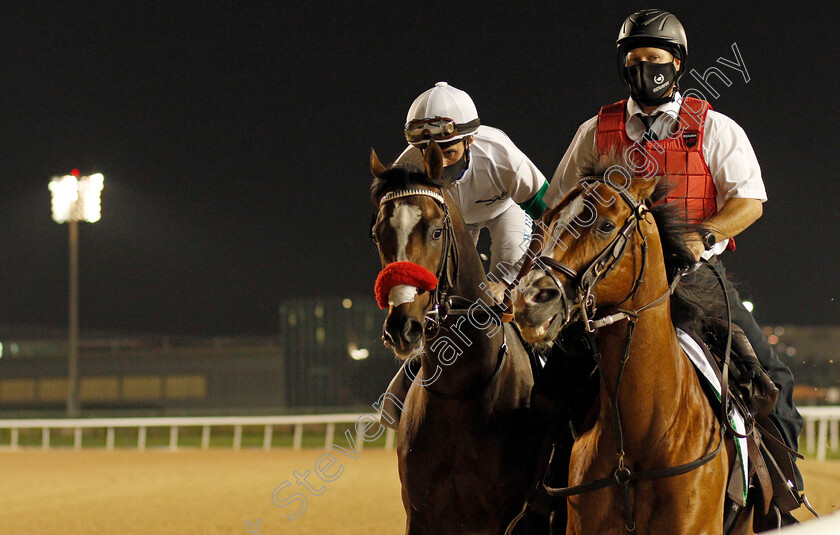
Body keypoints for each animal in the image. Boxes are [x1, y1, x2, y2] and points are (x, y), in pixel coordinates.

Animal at [370, 142, 544, 535]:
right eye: (377, 234)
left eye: (436, 231)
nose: (403, 328)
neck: (457, 391)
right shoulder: (421, 514)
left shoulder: (505, 517)